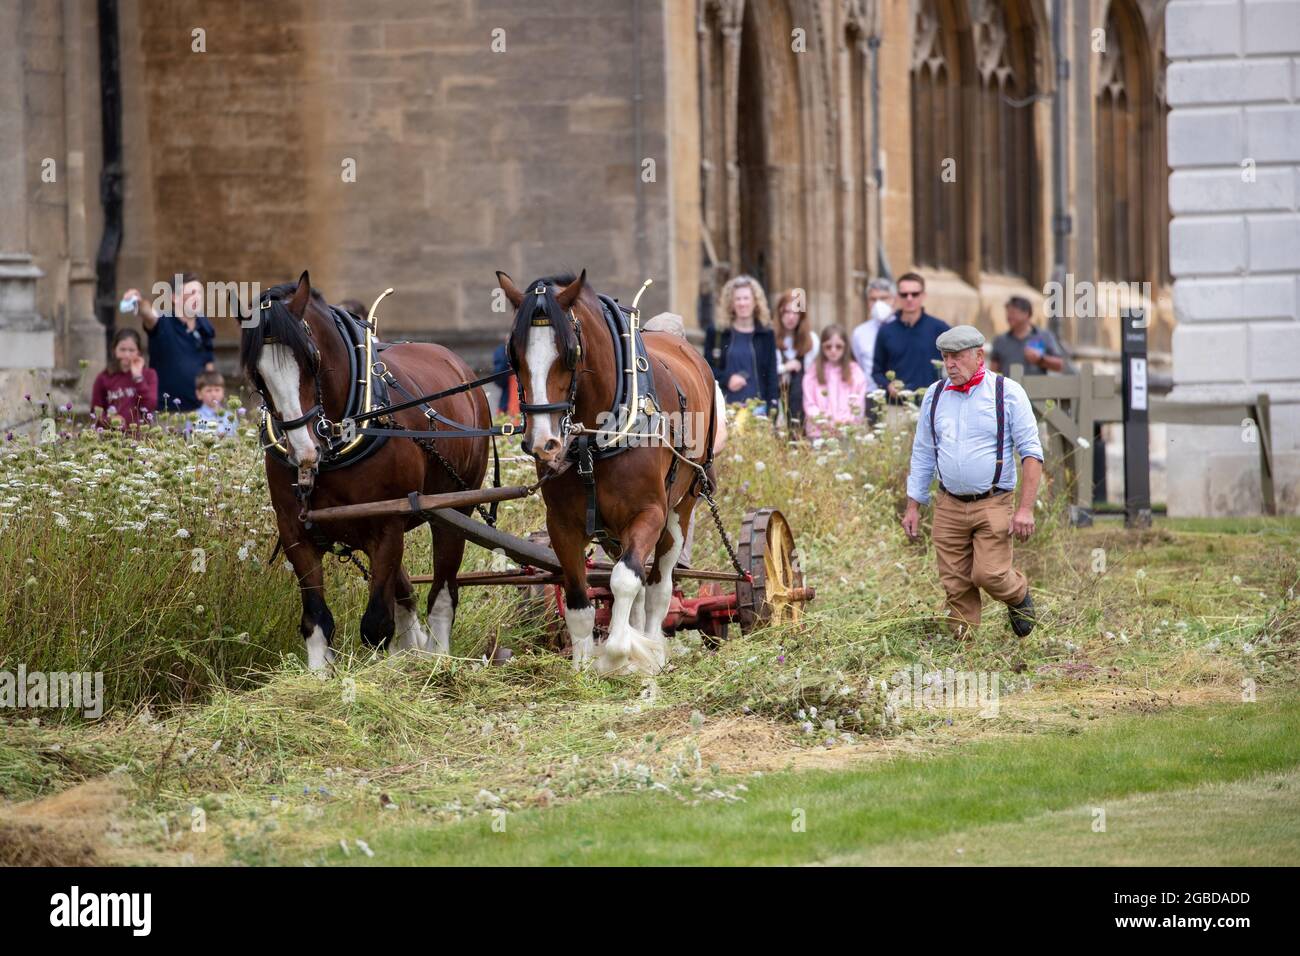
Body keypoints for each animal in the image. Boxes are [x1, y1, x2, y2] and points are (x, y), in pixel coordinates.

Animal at [241, 270, 488, 671]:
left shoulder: (387, 524)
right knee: (405, 593)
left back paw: (438, 657)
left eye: (312, 359)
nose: (304, 451)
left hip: (454, 509)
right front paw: (318, 675)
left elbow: (376, 624)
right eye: (256, 375)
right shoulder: (295, 529)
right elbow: (316, 619)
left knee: (442, 592)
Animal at [496, 265, 722, 676]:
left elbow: (625, 582)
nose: (543, 442)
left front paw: (621, 655)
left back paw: (653, 646)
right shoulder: (562, 524)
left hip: (681, 506)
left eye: (571, 353)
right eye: (513, 355)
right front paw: (583, 665)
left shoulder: (649, 513)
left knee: (658, 585)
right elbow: (579, 597)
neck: (592, 443)